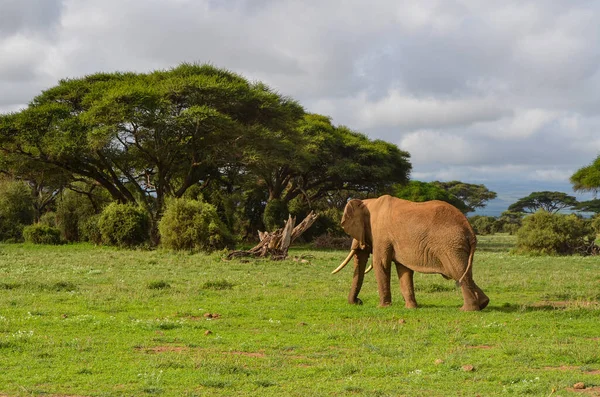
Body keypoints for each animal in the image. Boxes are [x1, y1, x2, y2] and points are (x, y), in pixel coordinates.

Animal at [330, 194, 490, 310]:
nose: (359, 302)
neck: (370, 202)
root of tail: (469, 229)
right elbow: (404, 269)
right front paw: (411, 308)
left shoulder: (381, 234)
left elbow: (381, 263)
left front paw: (382, 307)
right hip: (457, 247)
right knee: (464, 273)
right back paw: (483, 303)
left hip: (450, 246)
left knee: (457, 272)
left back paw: (467, 310)